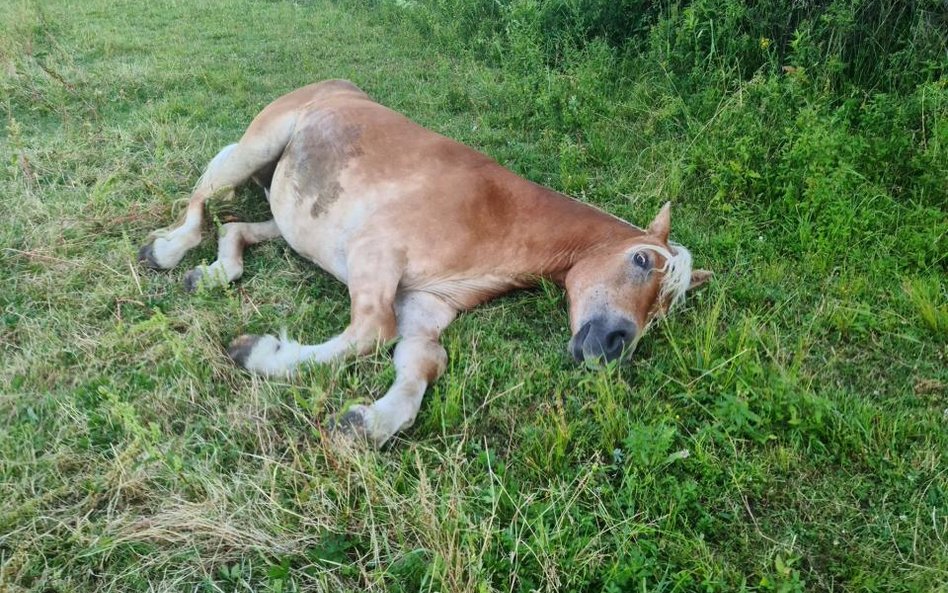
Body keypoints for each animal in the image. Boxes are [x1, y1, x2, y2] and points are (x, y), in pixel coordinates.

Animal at [137, 81, 708, 446]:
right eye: (640, 259)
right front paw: (257, 352)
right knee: (202, 201)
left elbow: (424, 360)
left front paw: (368, 423)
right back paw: (165, 251)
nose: (615, 347)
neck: (493, 214)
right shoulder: (375, 255)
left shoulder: (426, 306)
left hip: (290, 219)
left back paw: (212, 272)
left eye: (663, 313)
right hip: (253, 150)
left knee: (234, 229)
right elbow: (372, 330)